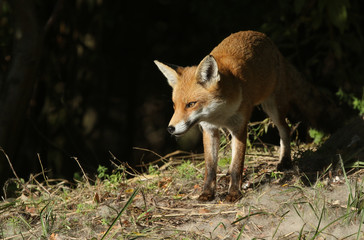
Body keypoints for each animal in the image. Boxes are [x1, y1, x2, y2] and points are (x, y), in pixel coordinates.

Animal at [154, 30, 298, 202]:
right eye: (174, 106)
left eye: (191, 104)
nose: (170, 129)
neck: (218, 114)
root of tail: (261, 35)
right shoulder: (209, 130)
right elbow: (210, 168)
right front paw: (207, 193)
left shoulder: (240, 128)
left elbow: (237, 164)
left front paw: (234, 193)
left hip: (273, 108)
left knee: (285, 129)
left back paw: (285, 160)